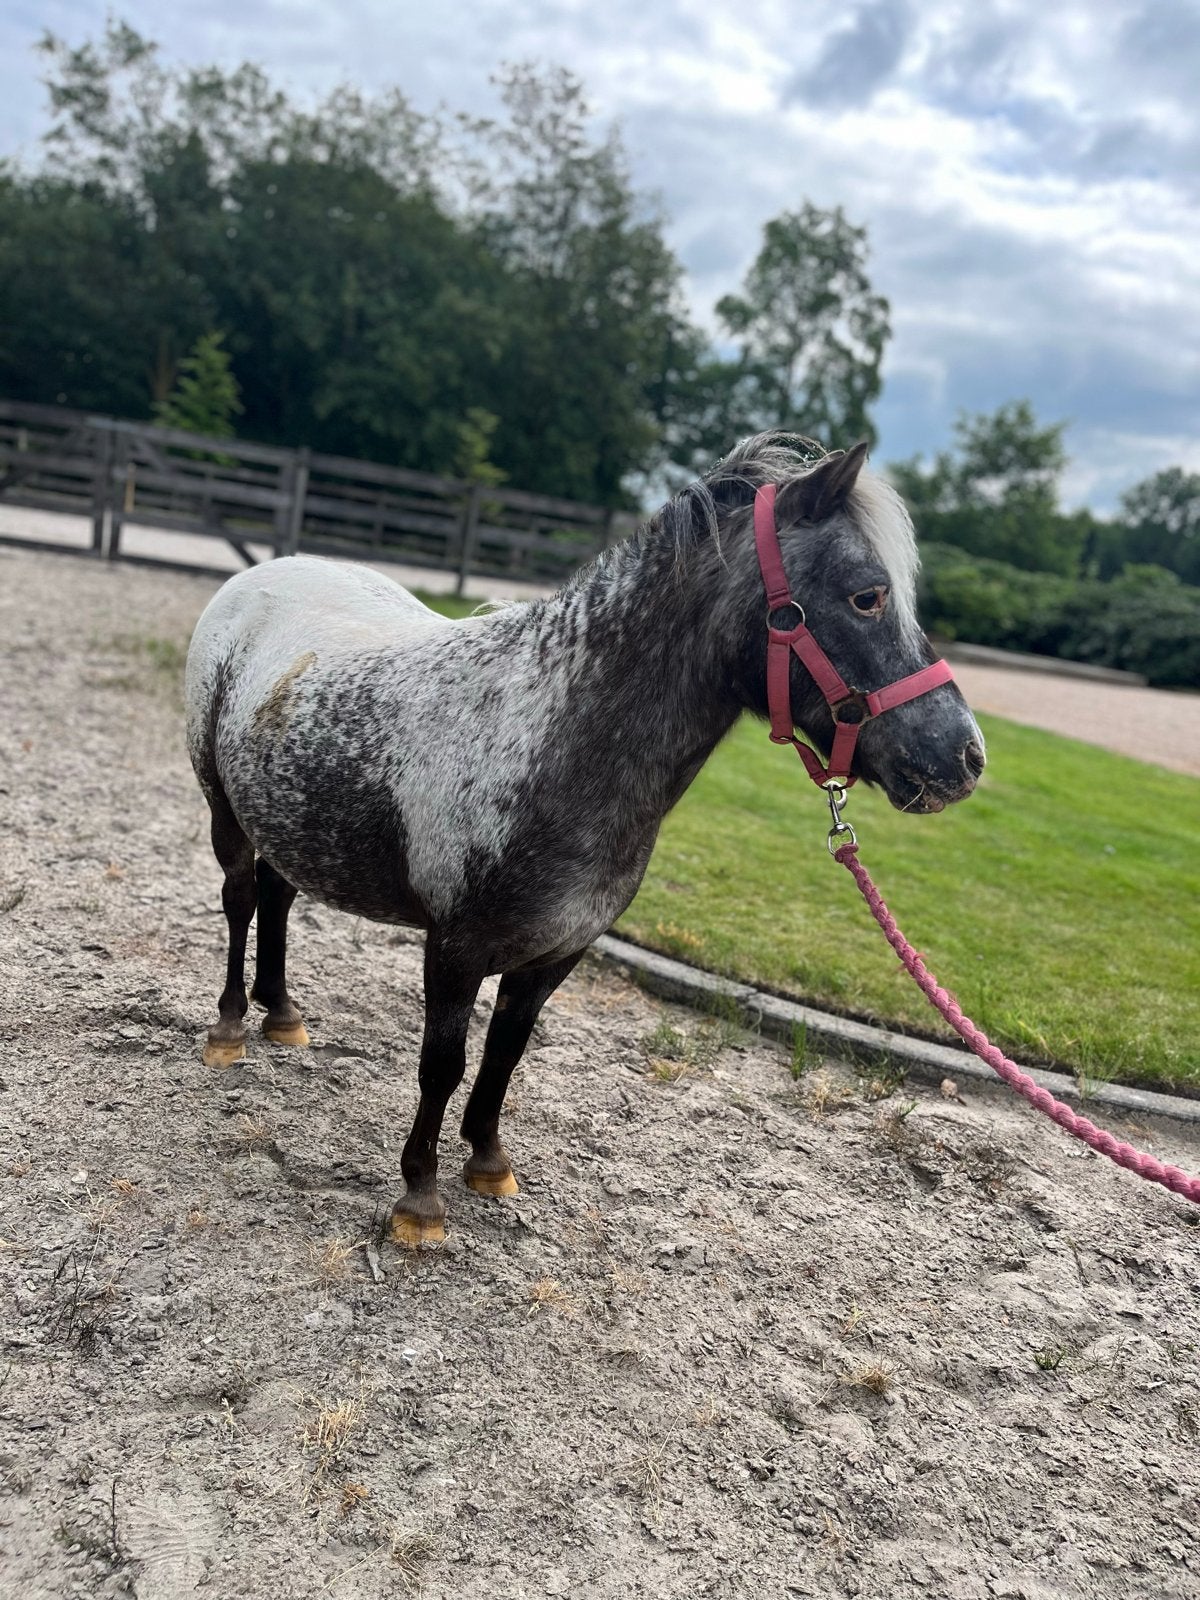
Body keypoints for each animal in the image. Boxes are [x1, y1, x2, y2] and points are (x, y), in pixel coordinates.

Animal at [184, 433, 985, 1246]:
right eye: (867, 595)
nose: (964, 757)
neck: (554, 735)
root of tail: (263, 572)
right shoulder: (454, 949)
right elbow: (443, 1063)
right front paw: (420, 1199)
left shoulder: (556, 953)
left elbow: (505, 1054)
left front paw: (489, 1163)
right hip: (224, 809)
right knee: (242, 898)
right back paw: (230, 1027)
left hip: (288, 816)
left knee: (279, 897)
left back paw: (282, 1015)